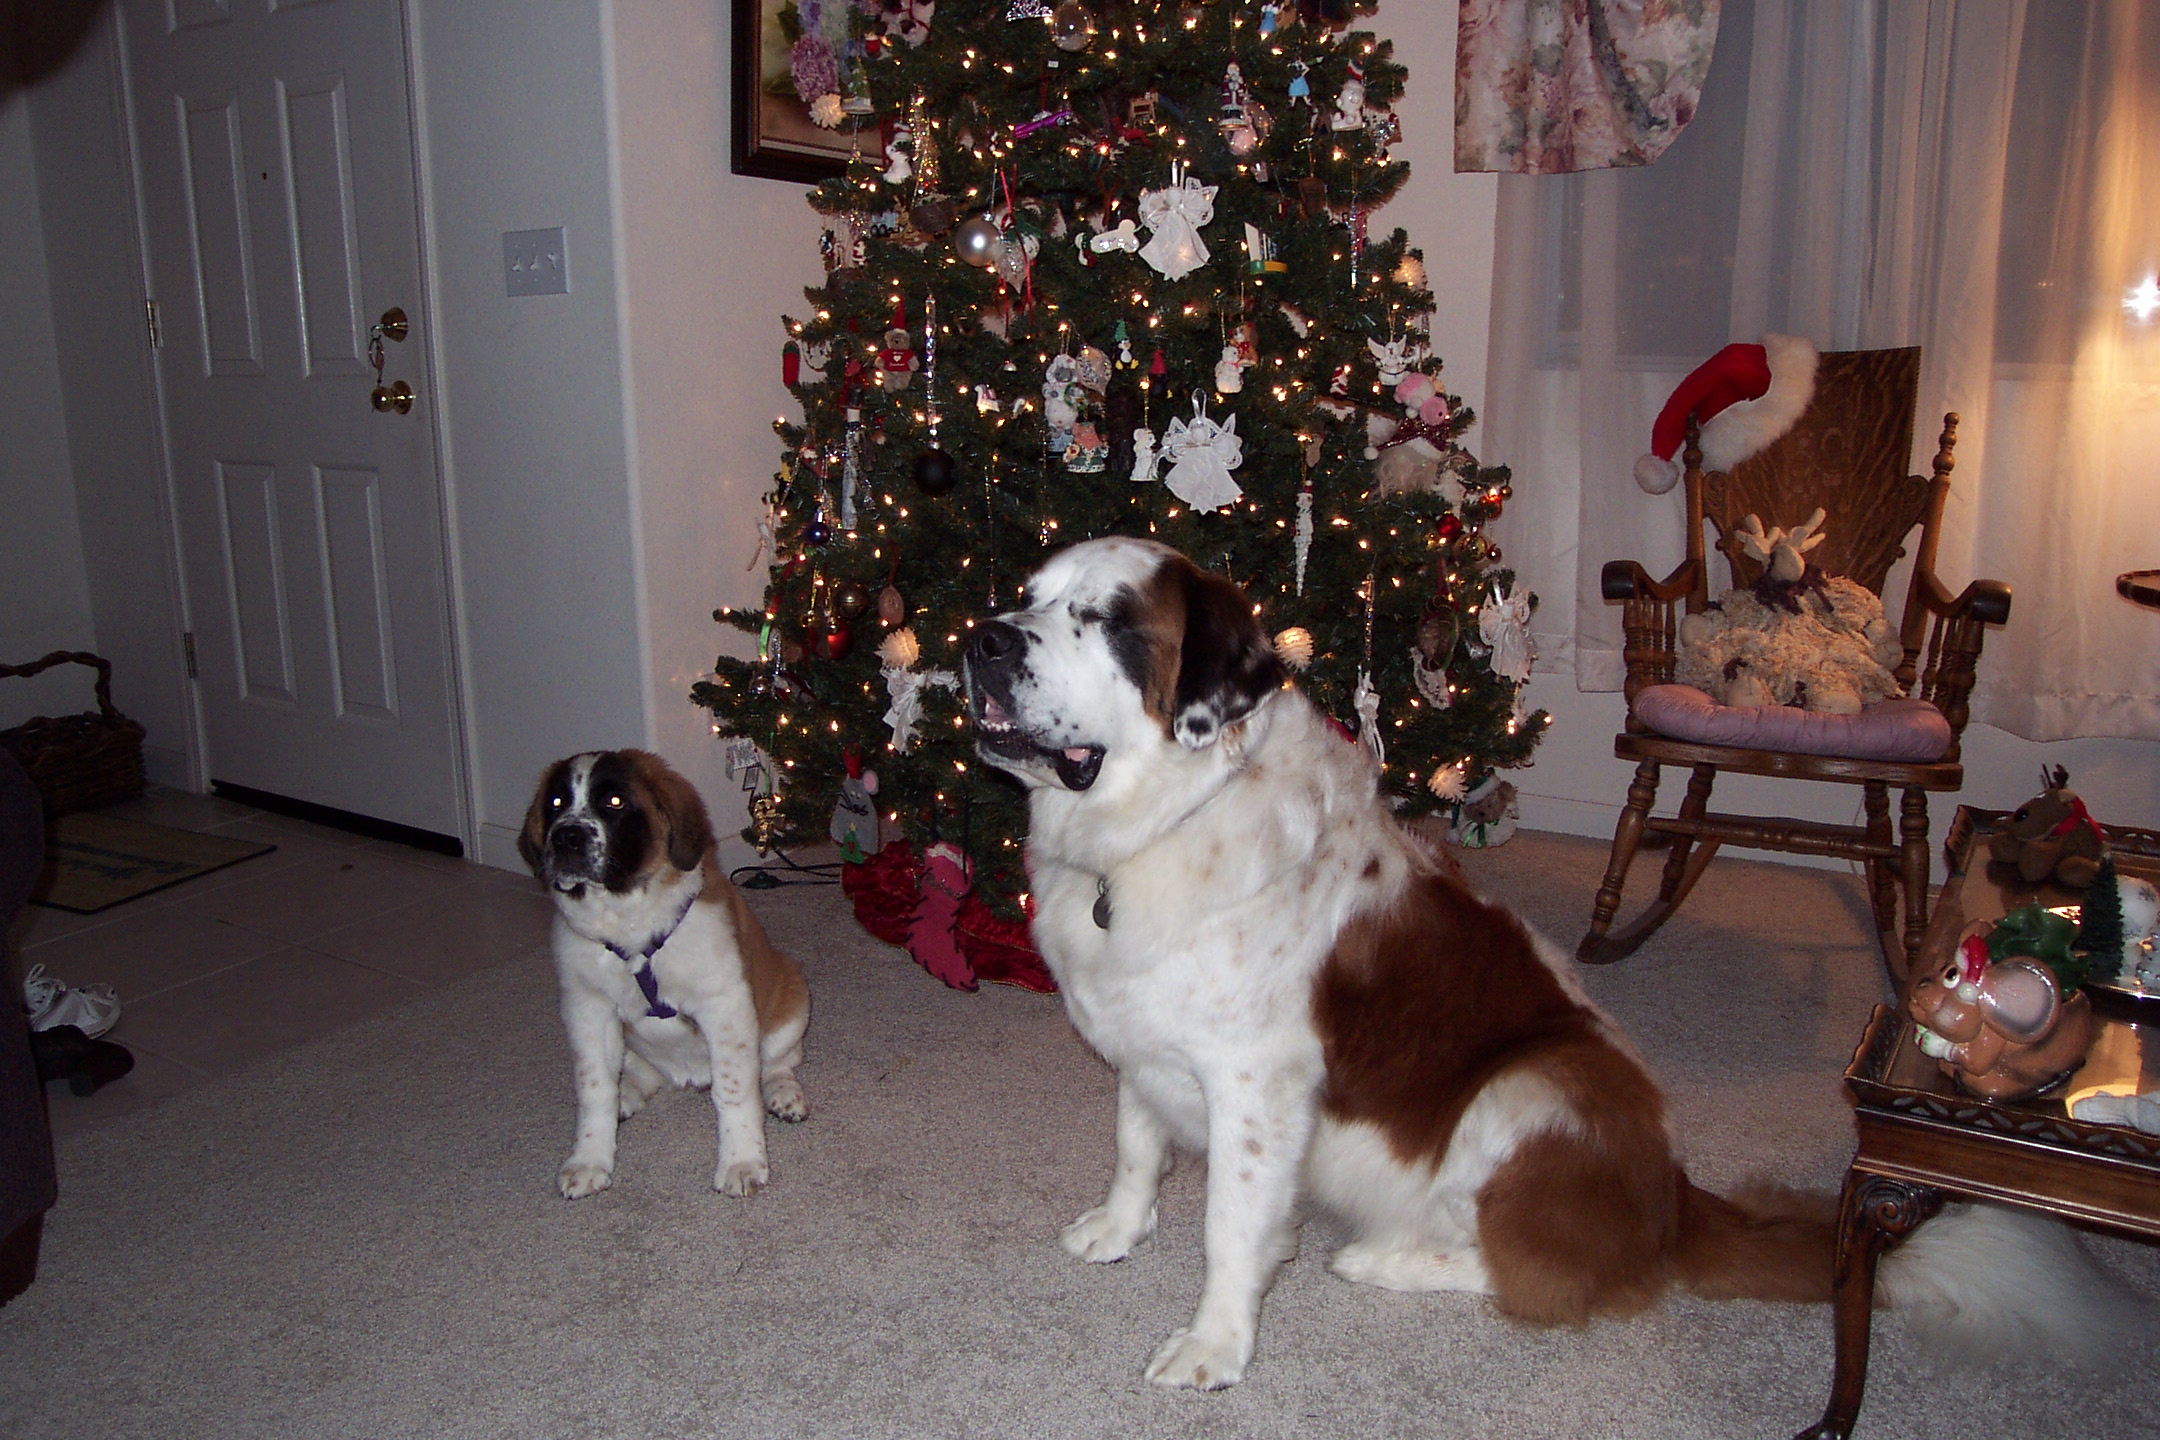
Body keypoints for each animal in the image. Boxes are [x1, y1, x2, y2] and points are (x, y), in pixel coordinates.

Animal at [521, 749, 808, 1199]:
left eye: (615, 803)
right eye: (555, 802)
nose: (566, 837)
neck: (625, 921)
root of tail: (687, 1076)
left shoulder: (724, 1005)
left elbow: (734, 1090)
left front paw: (742, 1161)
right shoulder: (587, 1009)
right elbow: (594, 1088)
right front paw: (589, 1160)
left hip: (791, 1002)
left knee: (777, 1062)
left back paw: (782, 1094)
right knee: (639, 1073)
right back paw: (626, 1095)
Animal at [965, 536, 2140, 1391]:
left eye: (1112, 624)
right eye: (1031, 597)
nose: (981, 640)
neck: (1166, 817)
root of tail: (1676, 1197)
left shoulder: (1258, 1087)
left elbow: (1229, 1227)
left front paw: (1215, 1345)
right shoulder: (1141, 1039)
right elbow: (1135, 1144)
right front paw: (1119, 1230)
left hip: (1533, 1084)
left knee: (1541, 1271)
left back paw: (1380, 1252)